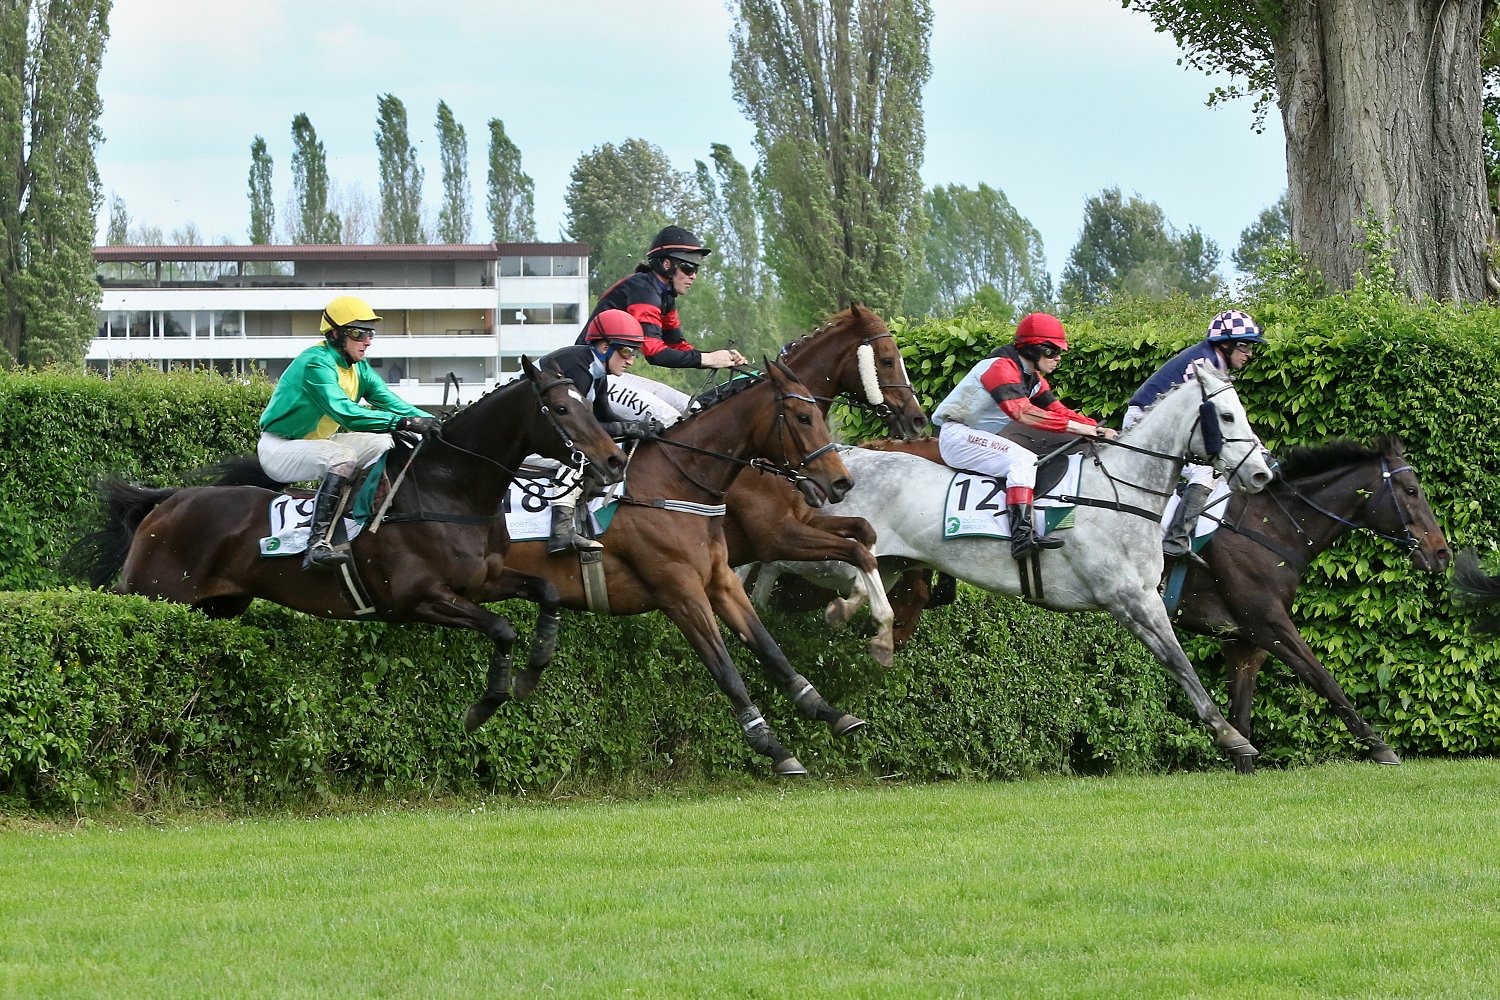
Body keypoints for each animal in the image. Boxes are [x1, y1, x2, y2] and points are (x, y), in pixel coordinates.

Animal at [70, 356, 629, 728]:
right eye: (561, 409)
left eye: (589, 403)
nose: (614, 460)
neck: (448, 489)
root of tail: (165, 503)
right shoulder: (418, 599)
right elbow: (502, 629)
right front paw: (484, 706)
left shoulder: (485, 580)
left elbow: (547, 593)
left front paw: (532, 672)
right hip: (154, 594)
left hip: (217, 606)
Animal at [469, 360, 860, 776]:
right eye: (803, 417)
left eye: (817, 413)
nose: (842, 482)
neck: (673, 486)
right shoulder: (680, 593)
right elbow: (726, 670)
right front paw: (771, 746)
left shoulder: (720, 581)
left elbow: (771, 649)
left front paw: (827, 711)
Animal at [750, 363, 1277, 763]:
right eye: (1226, 415)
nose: (1260, 474)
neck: (1120, 491)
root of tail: (844, 459)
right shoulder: (1131, 600)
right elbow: (1179, 662)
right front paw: (1232, 737)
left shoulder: (1142, 599)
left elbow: (1179, 662)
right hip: (825, 555)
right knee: (774, 560)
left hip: (887, 560)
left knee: (848, 579)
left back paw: (841, 615)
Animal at [881, 435, 1451, 772]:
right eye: (1410, 489)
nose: (1442, 554)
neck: (1268, 526)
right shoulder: (1268, 623)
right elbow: (1323, 678)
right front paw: (1379, 746)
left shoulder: (1243, 640)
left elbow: (1242, 708)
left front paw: (1242, 760)